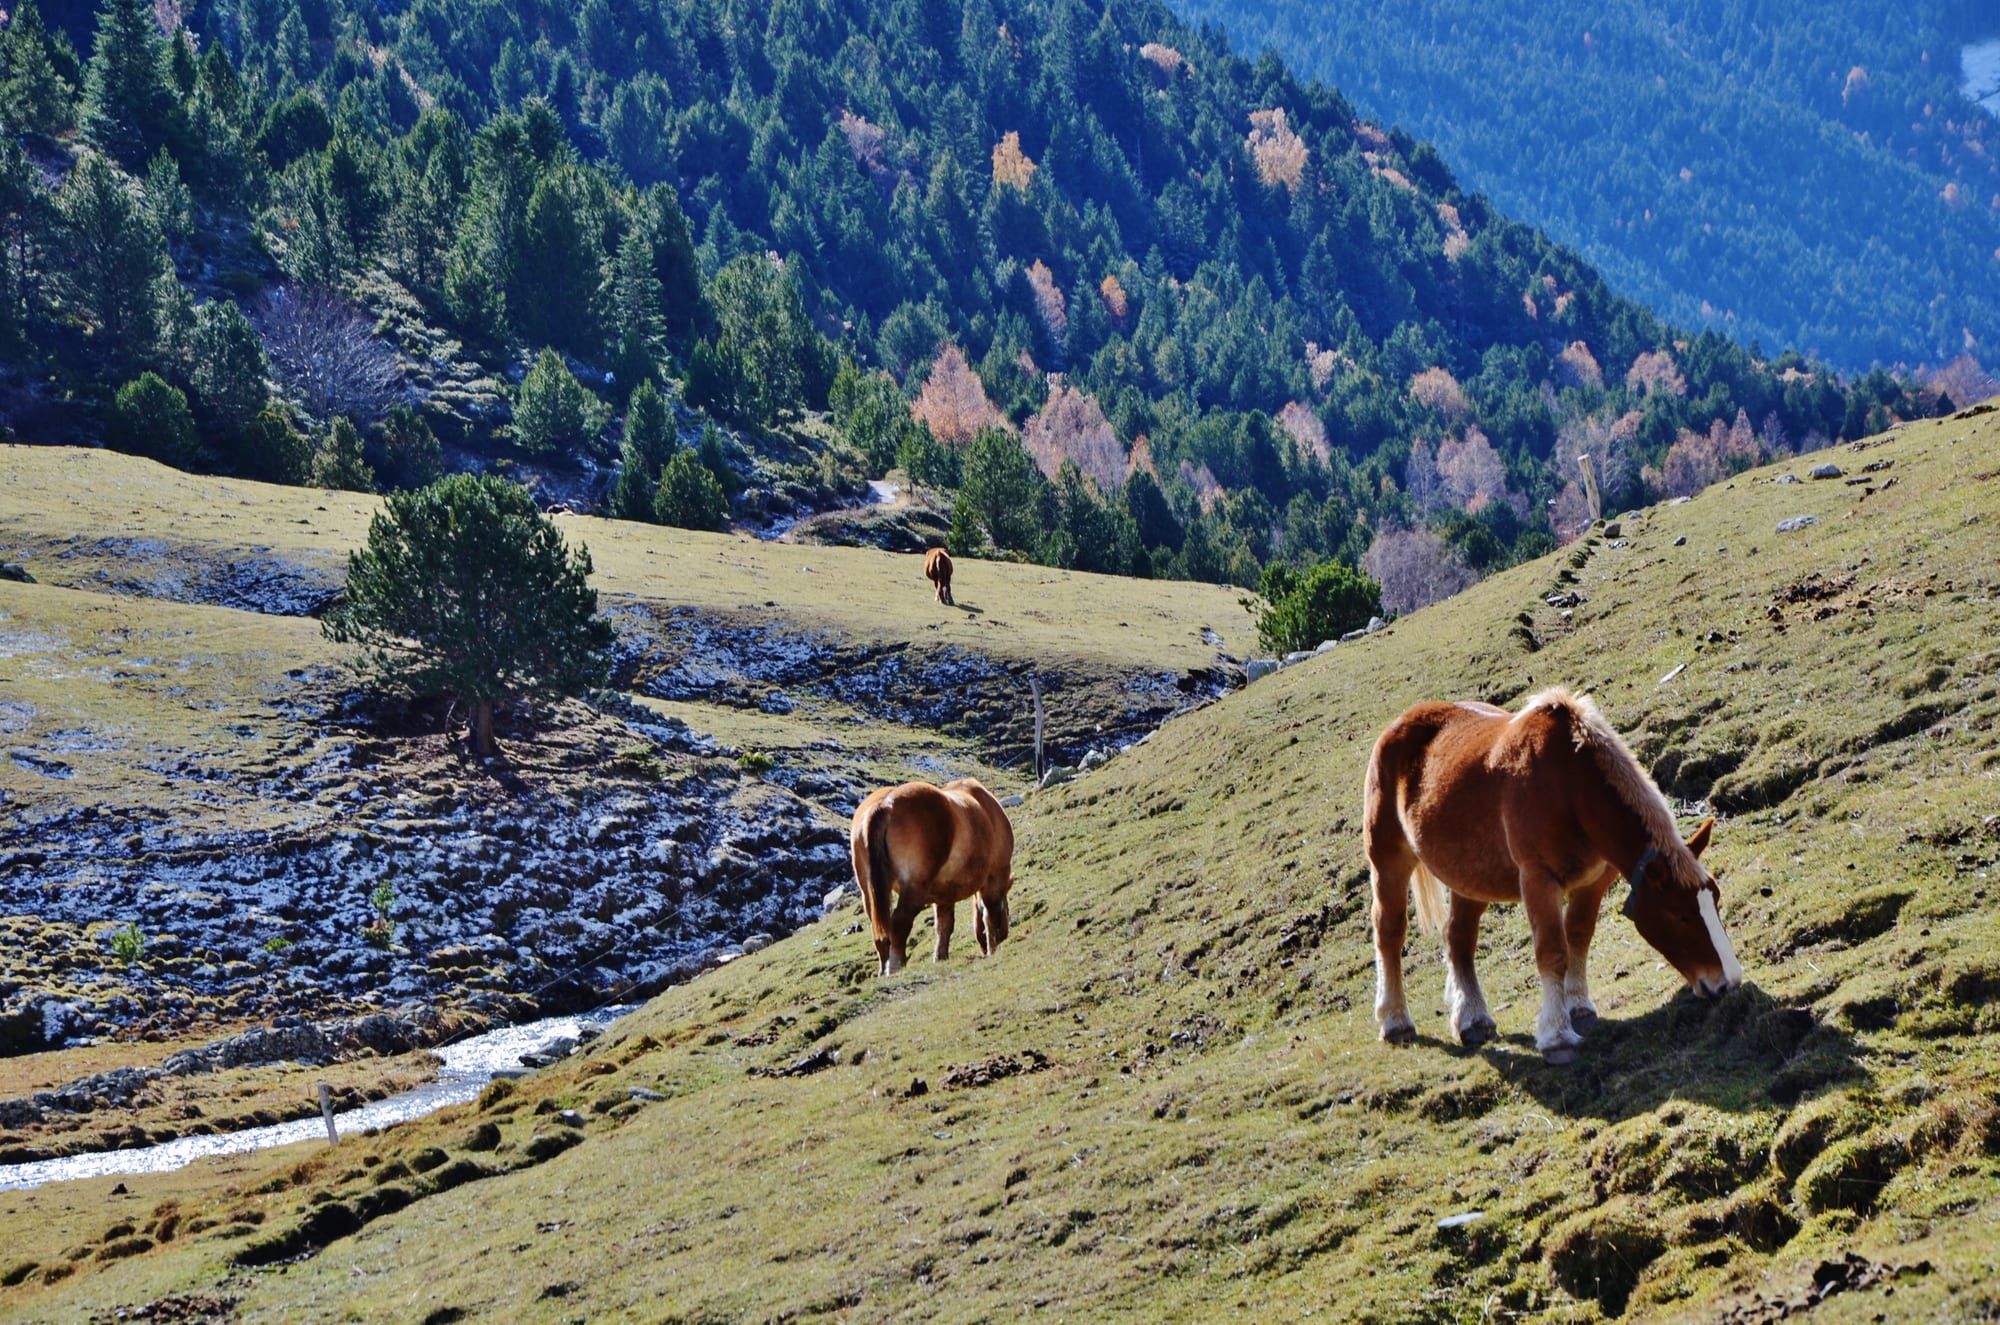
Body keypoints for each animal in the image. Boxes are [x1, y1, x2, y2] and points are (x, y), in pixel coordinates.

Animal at [850, 777, 1013, 975]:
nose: (1004, 935)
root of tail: (884, 805)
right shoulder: (995, 877)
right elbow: (989, 916)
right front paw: (993, 948)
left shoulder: (945, 895)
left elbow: (944, 925)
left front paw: (940, 956)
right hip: (914, 888)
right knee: (899, 923)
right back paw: (895, 966)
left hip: (869, 892)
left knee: (881, 930)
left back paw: (884, 968)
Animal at [1362, 688, 1741, 1064]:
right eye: (1679, 915)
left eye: (1715, 901)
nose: (1729, 981)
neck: (1570, 789)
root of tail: (1401, 723)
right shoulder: (1538, 880)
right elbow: (1553, 952)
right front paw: (1557, 1036)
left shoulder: (1593, 883)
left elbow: (1579, 937)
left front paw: (1579, 1007)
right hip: (1389, 862)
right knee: (1389, 931)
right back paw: (1396, 1021)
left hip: (1469, 877)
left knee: (1458, 938)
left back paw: (1473, 1020)